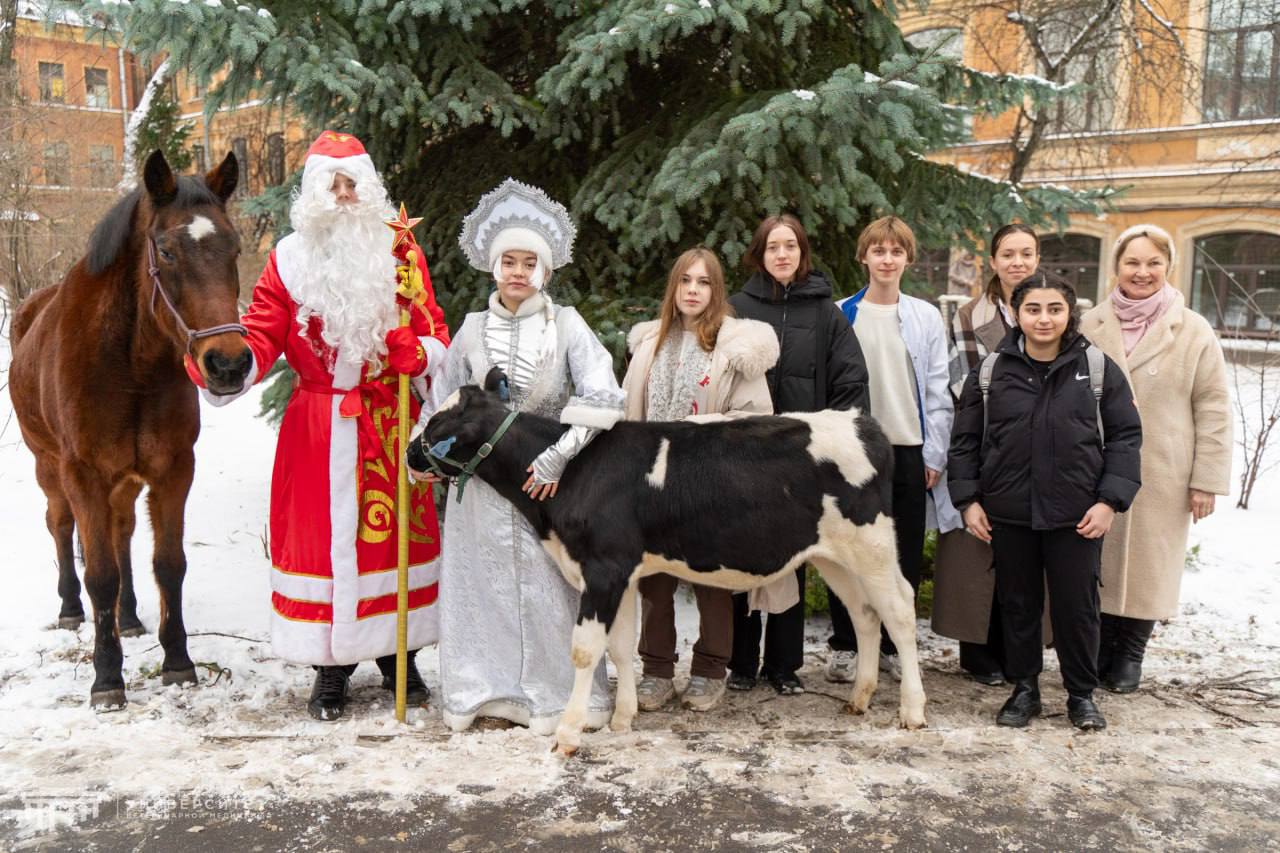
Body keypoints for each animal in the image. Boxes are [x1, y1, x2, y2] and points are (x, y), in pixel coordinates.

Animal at [10, 150, 252, 708]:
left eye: (234, 247)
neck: (130, 364)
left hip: (123, 482)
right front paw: (106, 677)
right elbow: (99, 574)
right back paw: (70, 609)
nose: (228, 363)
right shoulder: (83, 474)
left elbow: (168, 563)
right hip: (49, 467)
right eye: (165, 250)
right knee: (61, 526)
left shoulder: (173, 470)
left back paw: (129, 616)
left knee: (121, 534)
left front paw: (178, 660)